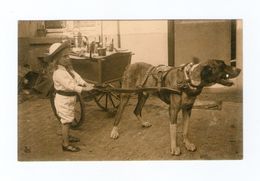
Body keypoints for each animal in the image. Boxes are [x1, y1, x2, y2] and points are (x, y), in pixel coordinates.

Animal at [109, 59, 240, 156]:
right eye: (222, 65)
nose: (239, 69)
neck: (188, 80)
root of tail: (129, 65)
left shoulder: (187, 109)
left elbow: (185, 130)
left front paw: (187, 143)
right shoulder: (173, 110)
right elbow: (173, 129)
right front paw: (174, 147)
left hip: (144, 95)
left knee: (136, 110)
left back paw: (143, 123)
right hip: (125, 95)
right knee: (119, 114)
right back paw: (114, 131)